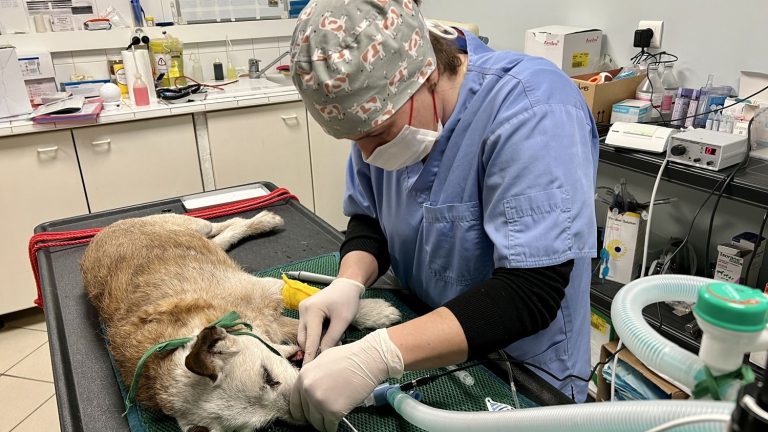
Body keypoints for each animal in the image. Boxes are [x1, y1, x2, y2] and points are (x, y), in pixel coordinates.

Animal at [81, 213, 400, 432]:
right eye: (267, 424)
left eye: (268, 376)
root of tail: (100, 233)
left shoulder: (267, 289)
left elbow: (323, 301)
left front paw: (373, 311)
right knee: (220, 240)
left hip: (194, 225)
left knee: (224, 224)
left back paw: (264, 220)